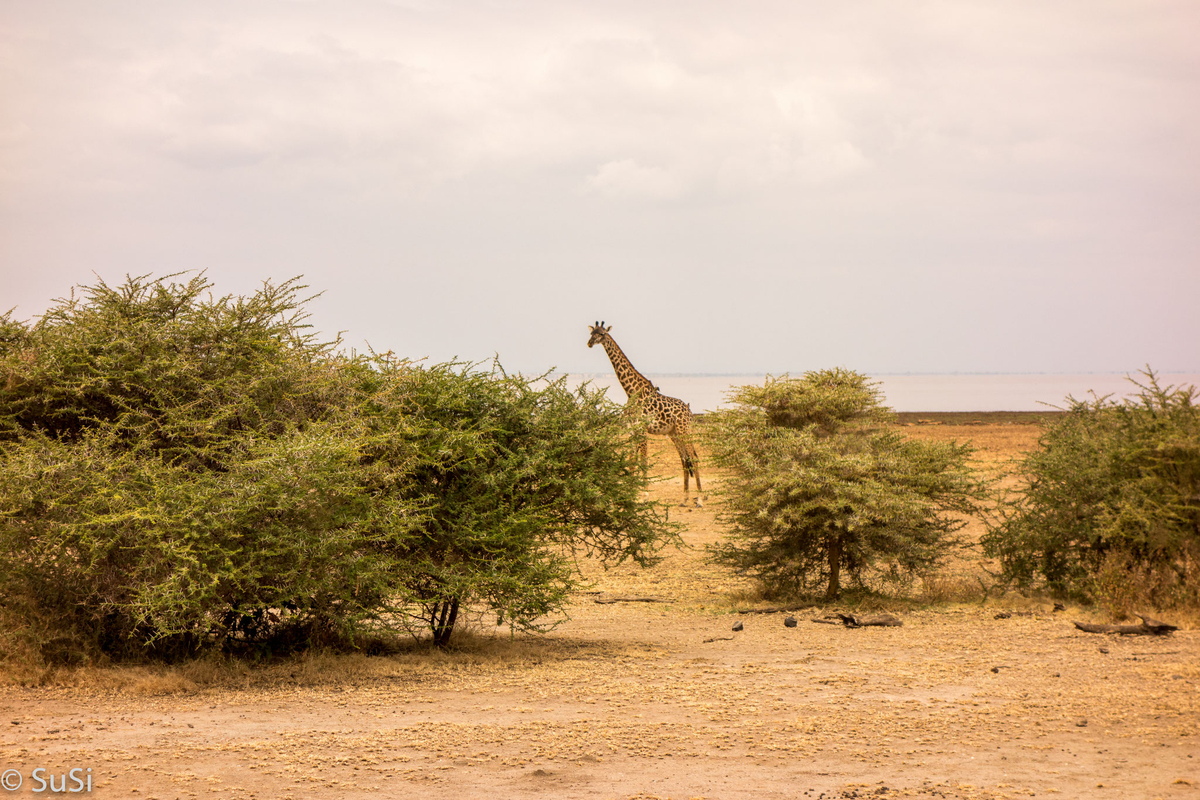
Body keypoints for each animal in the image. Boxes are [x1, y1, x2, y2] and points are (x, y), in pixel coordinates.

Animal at [587, 321, 702, 505]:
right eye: (592, 333)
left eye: (602, 334)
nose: (590, 343)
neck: (631, 391)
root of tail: (689, 411)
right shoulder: (632, 430)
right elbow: (631, 463)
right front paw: (630, 494)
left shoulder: (641, 430)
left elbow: (643, 461)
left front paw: (645, 495)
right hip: (674, 433)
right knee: (685, 459)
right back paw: (684, 498)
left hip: (684, 431)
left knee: (694, 457)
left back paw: (700, 498)